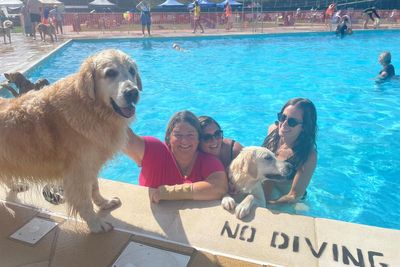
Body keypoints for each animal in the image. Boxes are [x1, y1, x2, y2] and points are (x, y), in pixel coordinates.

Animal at [0, 49, 143, 233]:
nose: (133, 93)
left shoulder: (89, 164)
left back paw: (15, 185)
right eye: (110, 73)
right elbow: (85, 202)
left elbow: (95, 187)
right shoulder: (78, 172)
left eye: (132, 71)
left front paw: (103, 203)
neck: (89, 105)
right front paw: (96, 224)